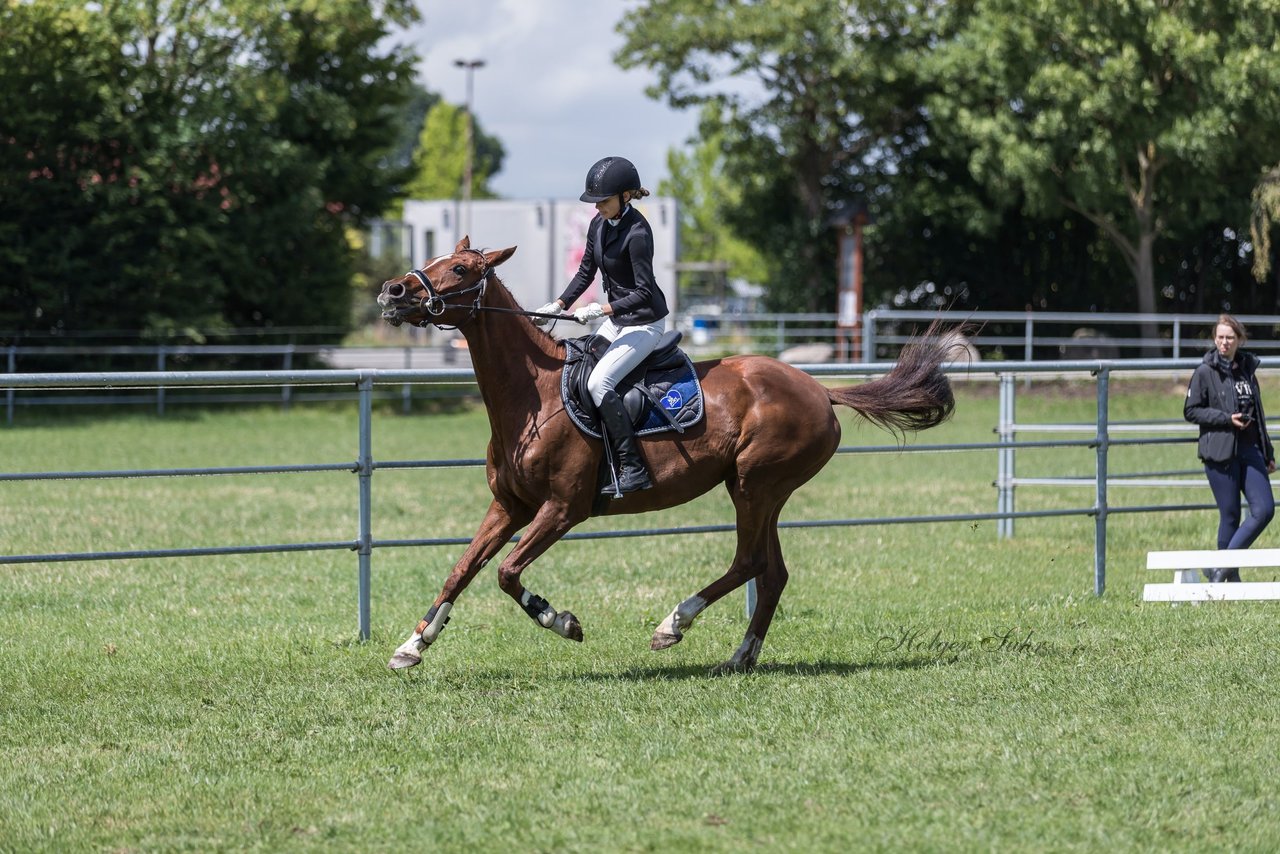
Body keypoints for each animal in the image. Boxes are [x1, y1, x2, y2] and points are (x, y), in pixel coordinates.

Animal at [373, 235, 957, 676]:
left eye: (460, 268)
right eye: (433, 261)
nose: (393, 290)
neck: (532, 393)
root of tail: (819, 390)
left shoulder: (562, 510)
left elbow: (507, 573)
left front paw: (562, 622)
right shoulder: (509, 506)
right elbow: (462, 569)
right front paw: (413, 645)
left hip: (754, 485)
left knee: (750, 562)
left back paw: (672, 625)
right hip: (761, 492)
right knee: (771, 573)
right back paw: (739, 657)